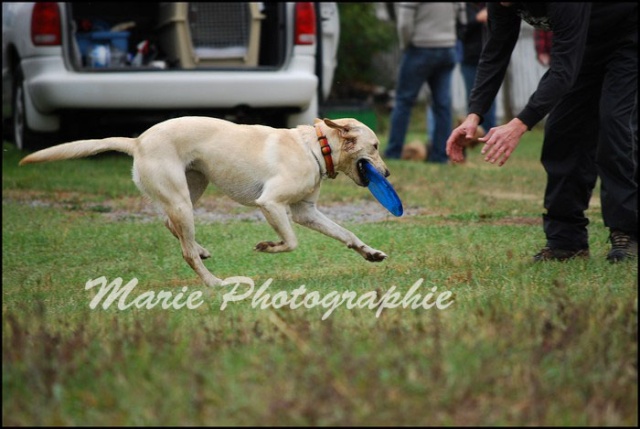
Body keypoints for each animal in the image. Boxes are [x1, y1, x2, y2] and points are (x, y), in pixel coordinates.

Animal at [18, 116, 390, 288]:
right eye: (374, 147)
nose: (387, 172)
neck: (315, 147)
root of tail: (137, 141)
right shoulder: (270, 203)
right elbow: (291, 242)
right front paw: (267, 246)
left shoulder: (305, 211)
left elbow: (346, 234)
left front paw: (370, 253)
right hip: (182, 200)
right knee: (183, 248)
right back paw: (213, 282)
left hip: (192, 188)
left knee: (171, 225)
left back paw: (201, 249)